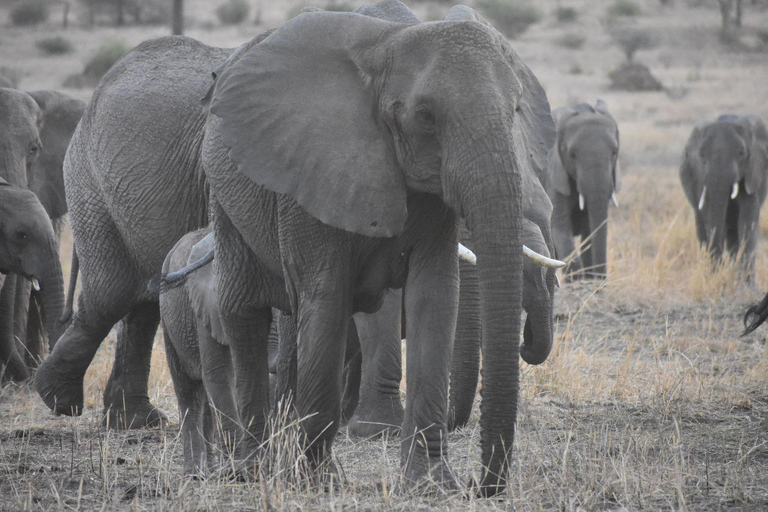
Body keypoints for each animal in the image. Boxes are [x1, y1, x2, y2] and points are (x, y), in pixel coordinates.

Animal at [36, 2, 560, 494]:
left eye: (516, 111)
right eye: (425, 117)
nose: (484, 485)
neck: (392, 39)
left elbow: (433, 297)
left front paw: (432, 485)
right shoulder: (307, 171)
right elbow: (331, 298)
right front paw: (325, 476)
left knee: (144, 304)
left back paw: (137, 421)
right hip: (134, 185)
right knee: (146, 298)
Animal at [680, 114, 768, 278]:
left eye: (741, 153)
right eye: (701, 154)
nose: (720, 271)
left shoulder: (753, 172)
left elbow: (747, 221)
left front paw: (745, 282)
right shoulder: (699, 176)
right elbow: (710, 221)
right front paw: (716, 277)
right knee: (702, 228)